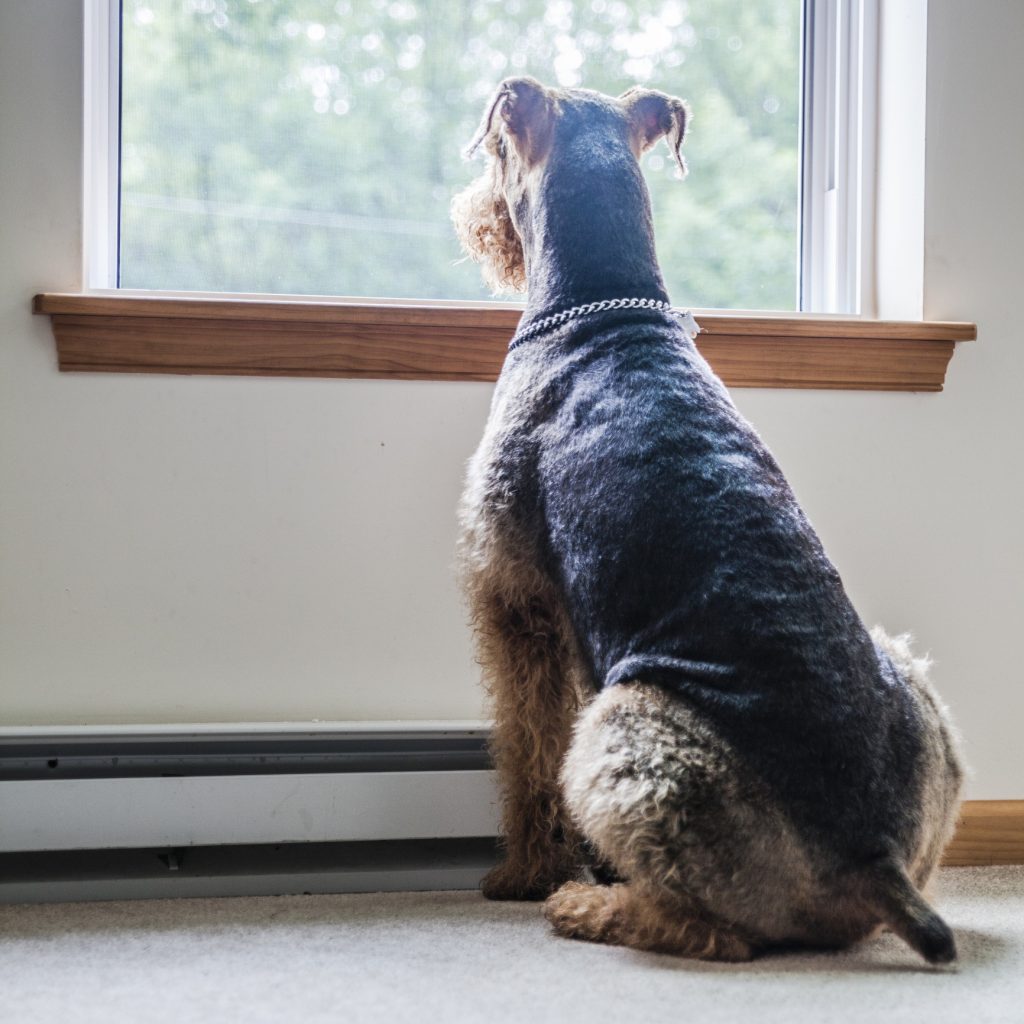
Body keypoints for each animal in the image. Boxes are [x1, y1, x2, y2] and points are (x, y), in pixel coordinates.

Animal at [452, 75, 962, 962]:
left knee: (709, 930)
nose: (471, 217)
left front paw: (524, 872)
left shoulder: (514, 598)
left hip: (624, 722)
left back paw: (584, 903)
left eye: (498, 147)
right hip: (915, 694)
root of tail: (873, 858)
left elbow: (526, 743)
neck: (604, 305)